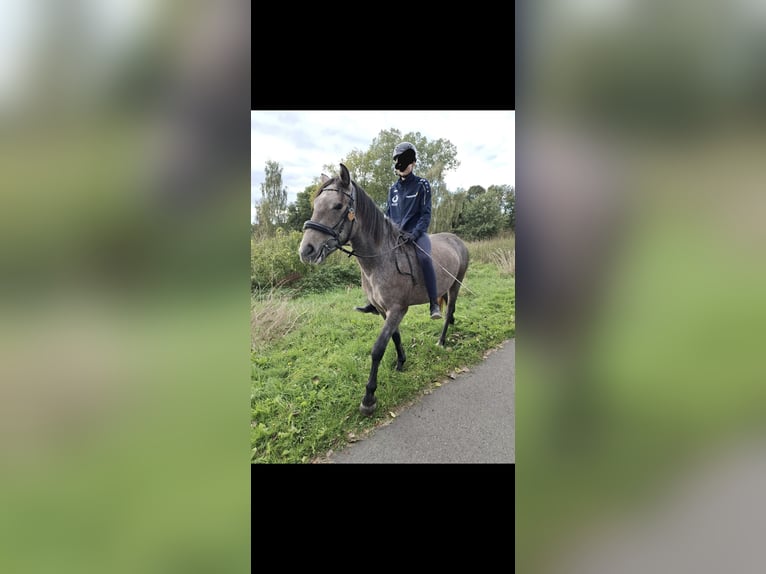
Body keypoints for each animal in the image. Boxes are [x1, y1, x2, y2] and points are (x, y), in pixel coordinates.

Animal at [298, 164, 468, 416]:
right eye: (315, 204)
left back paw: (441, 340)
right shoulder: (383, 310)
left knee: (448, 312)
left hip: (457, 284)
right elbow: (394, 336)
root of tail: (457, 240)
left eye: (337, 206)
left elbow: (378, 348)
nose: (306, 251)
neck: (381, 259)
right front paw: (401, 362)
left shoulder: (397, 309)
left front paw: (369, 398)